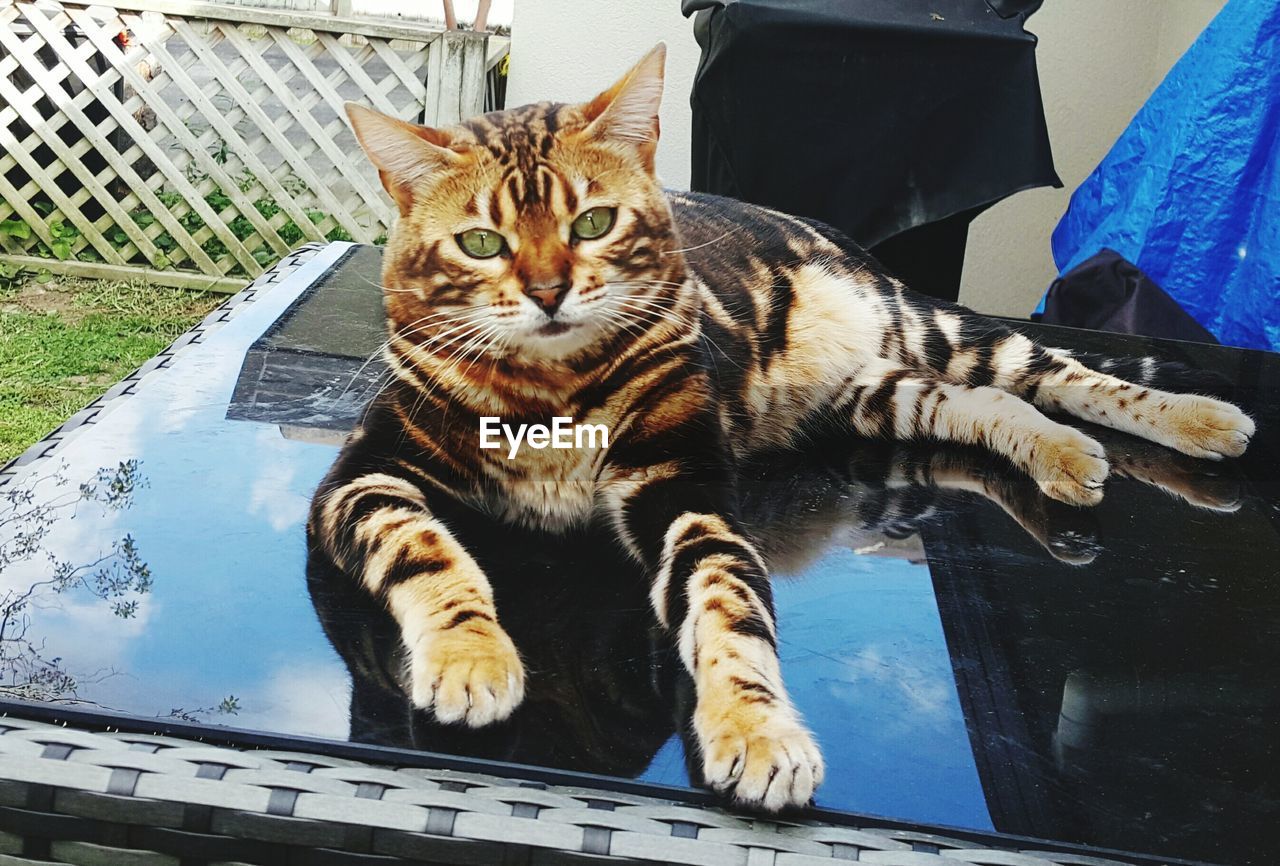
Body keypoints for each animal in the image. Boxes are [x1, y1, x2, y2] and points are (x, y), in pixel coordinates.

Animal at [307, 40, 1249, 808]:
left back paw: (1198, 419)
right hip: (880, 393)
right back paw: (1062, 454)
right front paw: (471, 657)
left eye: (594, 222)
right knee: (992, 404)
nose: (546, 292)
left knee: (1058, 372)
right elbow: (430, 553)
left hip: (934, 334)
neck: (551, 392)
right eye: (481, 243)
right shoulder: (365, 475)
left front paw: (755, 728)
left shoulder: (682, 490)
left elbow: (729, 607)